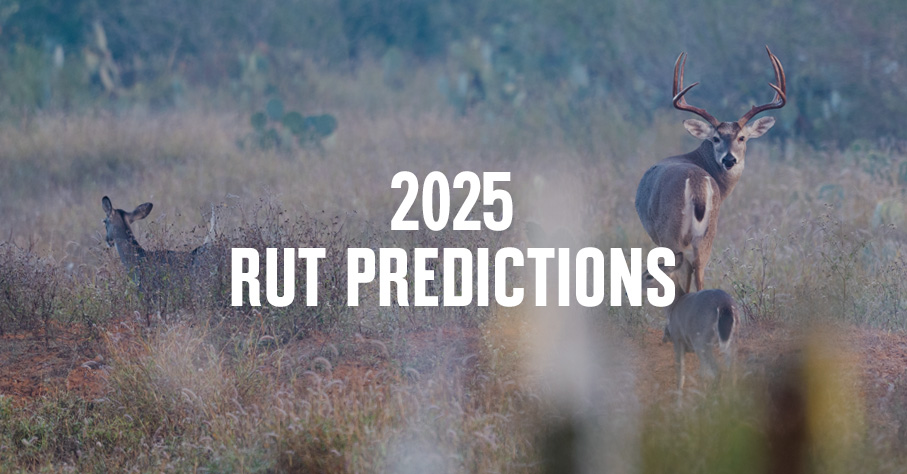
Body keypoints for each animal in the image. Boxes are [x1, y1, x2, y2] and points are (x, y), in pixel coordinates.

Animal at [635, 46, 786, 293]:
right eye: (716, 138)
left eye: (742, 137)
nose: (729, 159)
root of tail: (697, 186)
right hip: (707, 234)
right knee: (699, 275)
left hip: (672, 233)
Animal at [643, 261, 739, 391]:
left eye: (649, 276)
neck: (674, 305)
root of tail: (725, 306)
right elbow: (702, 373)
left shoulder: (678, 339)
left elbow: (680, 372)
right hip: (731, 341)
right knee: (732, 371)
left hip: (702, 341)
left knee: (718, 371)